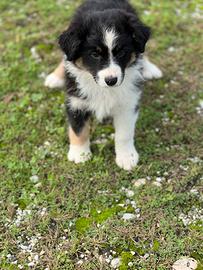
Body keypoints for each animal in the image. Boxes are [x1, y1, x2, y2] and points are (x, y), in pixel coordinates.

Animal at [45, 0, 163, 170]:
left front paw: (127, 157)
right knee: (65, 57)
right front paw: (80, 154)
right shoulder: (75, 101)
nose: (111, 80)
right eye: (95, 54)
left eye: (121, 52)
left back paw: (149, 68)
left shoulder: (128, 103)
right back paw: (55, 77)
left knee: (142, 54)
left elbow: (124, 134)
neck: (103, 88)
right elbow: (78, 130)